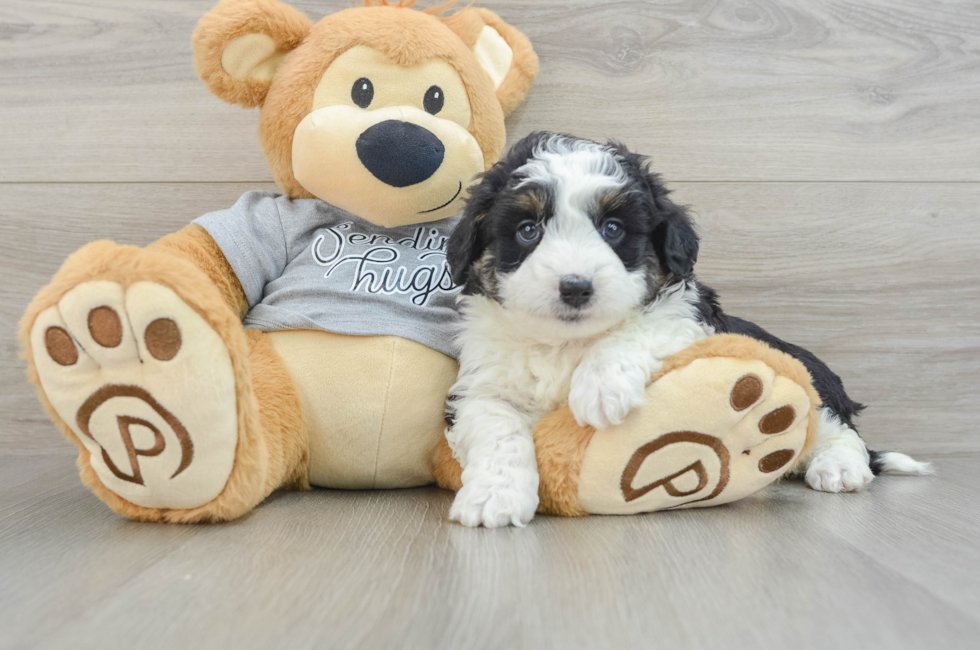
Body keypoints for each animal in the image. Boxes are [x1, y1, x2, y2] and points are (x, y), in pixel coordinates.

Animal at [442, 132, 928, 528]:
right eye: (528, 230)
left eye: (613, 228)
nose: (576, 287)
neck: (567, 343)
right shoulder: (479, 387)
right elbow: (496, 426)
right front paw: (495, 496)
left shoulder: (688, 321)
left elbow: (645, 325)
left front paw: (601, 386)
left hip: (811, 381)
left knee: (839, 431)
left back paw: (839, 469)